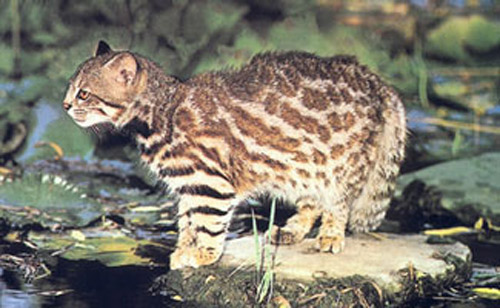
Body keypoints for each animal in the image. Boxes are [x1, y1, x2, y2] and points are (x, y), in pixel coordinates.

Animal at [62, 41, 406, 270]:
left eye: (84, 94)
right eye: (70, 88)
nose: (64, 106)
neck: (160, 112)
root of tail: (374, 79)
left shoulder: (211, 182)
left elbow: (208, 221)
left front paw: (205, 253)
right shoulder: (189, 184)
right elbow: (188, 221)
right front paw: (185, 248)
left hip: (341, 163)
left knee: (338, 201)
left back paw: (332, 232)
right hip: (304, 164)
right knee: (311, 201)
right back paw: (294, 228)